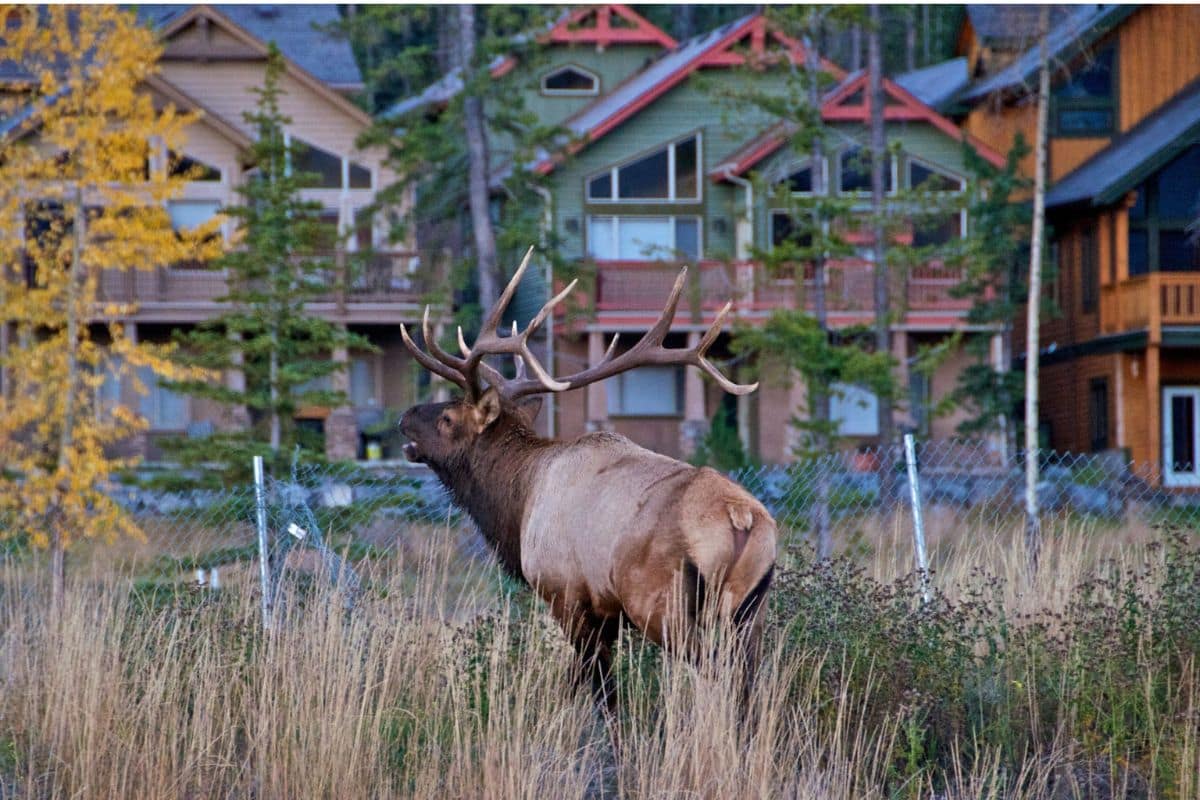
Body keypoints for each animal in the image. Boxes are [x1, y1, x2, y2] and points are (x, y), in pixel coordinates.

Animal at [398, 249, 777, 712]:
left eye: (449, 418)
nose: (404, 418)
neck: (518, 506)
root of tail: (741, 518)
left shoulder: (567, 594)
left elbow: (595, 690)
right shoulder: (605, 611)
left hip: (666, 605)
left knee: (721, 674)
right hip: (751, 610)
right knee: (751, 682)